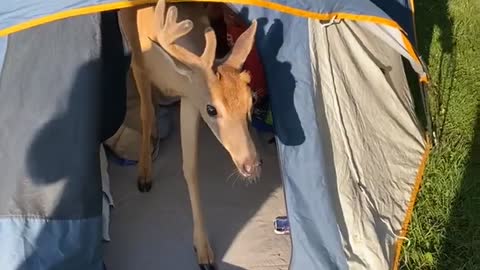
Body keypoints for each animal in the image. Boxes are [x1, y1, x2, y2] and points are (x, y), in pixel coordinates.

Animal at [118, 1, 262, 268]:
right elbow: (146, 113)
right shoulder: (138, 63)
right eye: (211, 109)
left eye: (252, 101)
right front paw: (144, 175)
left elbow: (191, 168)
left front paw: (203, 250)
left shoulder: (189, 99)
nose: (251, 165)